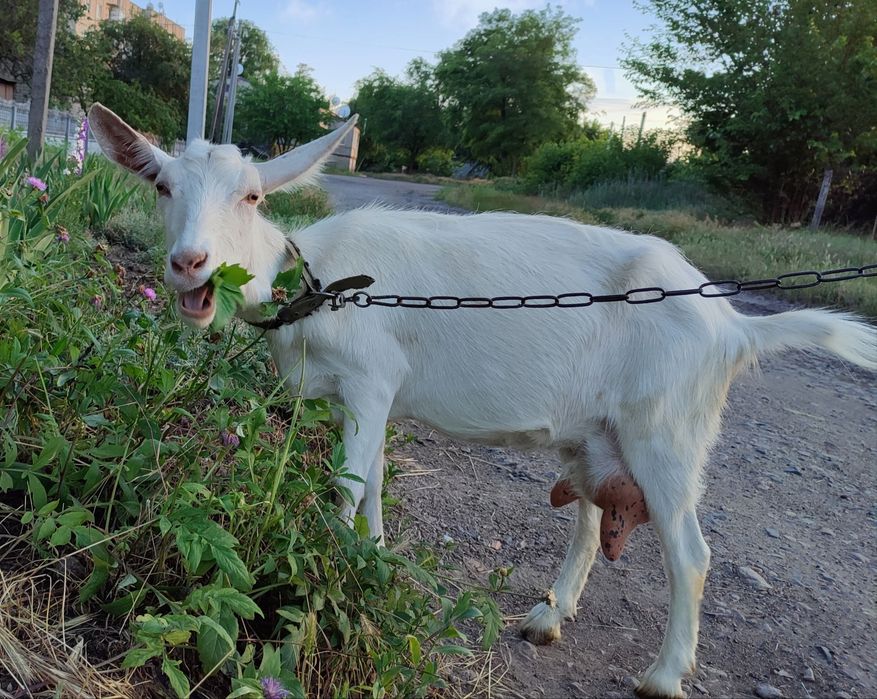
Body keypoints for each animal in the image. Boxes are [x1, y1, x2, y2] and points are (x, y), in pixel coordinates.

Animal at [88, 103, 877, 699]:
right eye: (160, 188)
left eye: (251, 195)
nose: (189, 264)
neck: (315, 282)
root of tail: (734, 325)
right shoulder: (369, 397)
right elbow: (373, 482)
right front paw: (373, 562)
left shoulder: (370, 379)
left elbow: (347, 487)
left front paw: (326, 581)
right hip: (595, 433)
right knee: (592, 519)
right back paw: (548, 617)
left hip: (667, 430)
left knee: (691, 553)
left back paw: (661, 675)